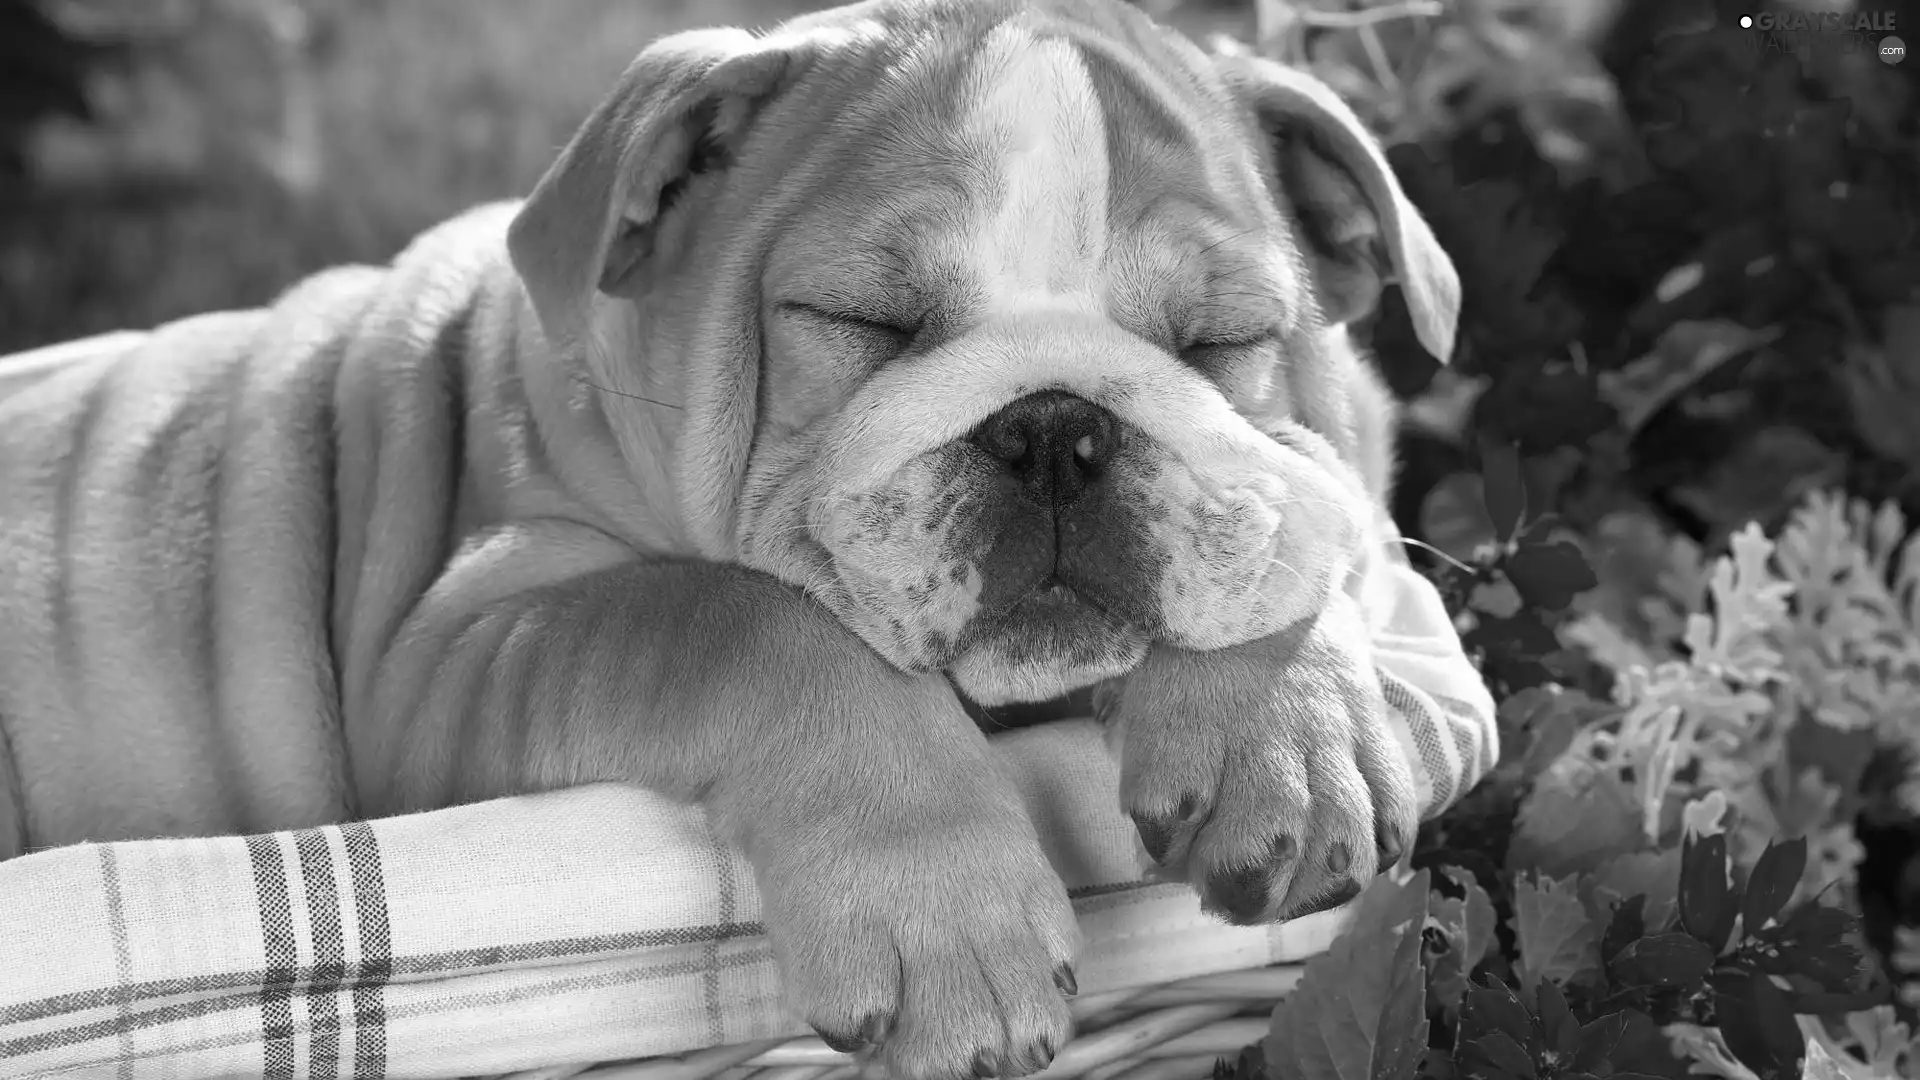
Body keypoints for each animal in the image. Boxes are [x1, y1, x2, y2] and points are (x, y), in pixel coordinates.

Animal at [0, 0, 1459, 1068]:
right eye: (864, 321)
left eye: (1221, 341)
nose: (1055, 425)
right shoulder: (452, 650)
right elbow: (747, 619)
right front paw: (947, 918)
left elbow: (1292, 523)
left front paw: (1290, 733)